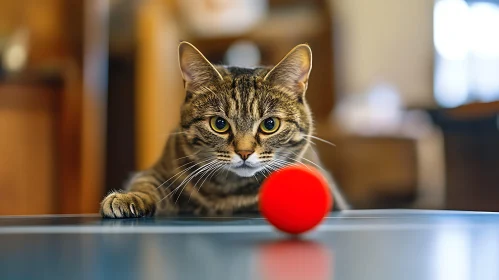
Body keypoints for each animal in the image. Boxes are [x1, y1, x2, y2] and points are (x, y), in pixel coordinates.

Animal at [99, 40, 350, 218]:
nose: (244, 152)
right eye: (219, 124)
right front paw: (128, 197)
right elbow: (146, 183)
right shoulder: (158, 170)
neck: (227, 193)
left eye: (270, 124)